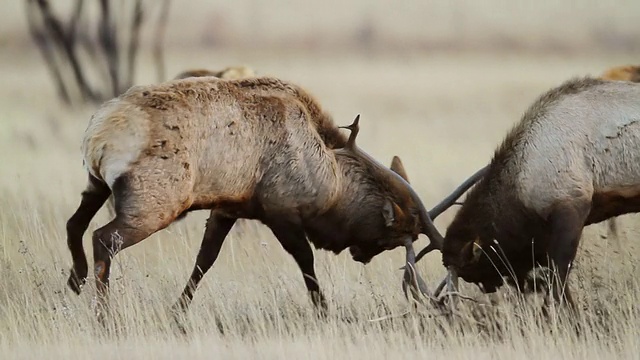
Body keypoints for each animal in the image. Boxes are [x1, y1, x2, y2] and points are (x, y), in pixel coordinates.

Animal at [66, 74, 456, 320]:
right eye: (391, 239)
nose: (360, 255)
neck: (329, 180)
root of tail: (97, 134)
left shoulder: (228, 207)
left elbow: (204, 261)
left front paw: (177, 312)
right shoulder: (280, 210)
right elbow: (306, 262)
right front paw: (324, 311)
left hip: (96, 183)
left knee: (74, 225)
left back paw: (75, 279)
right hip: (155, 202)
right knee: (103, 238)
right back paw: (104, 315)